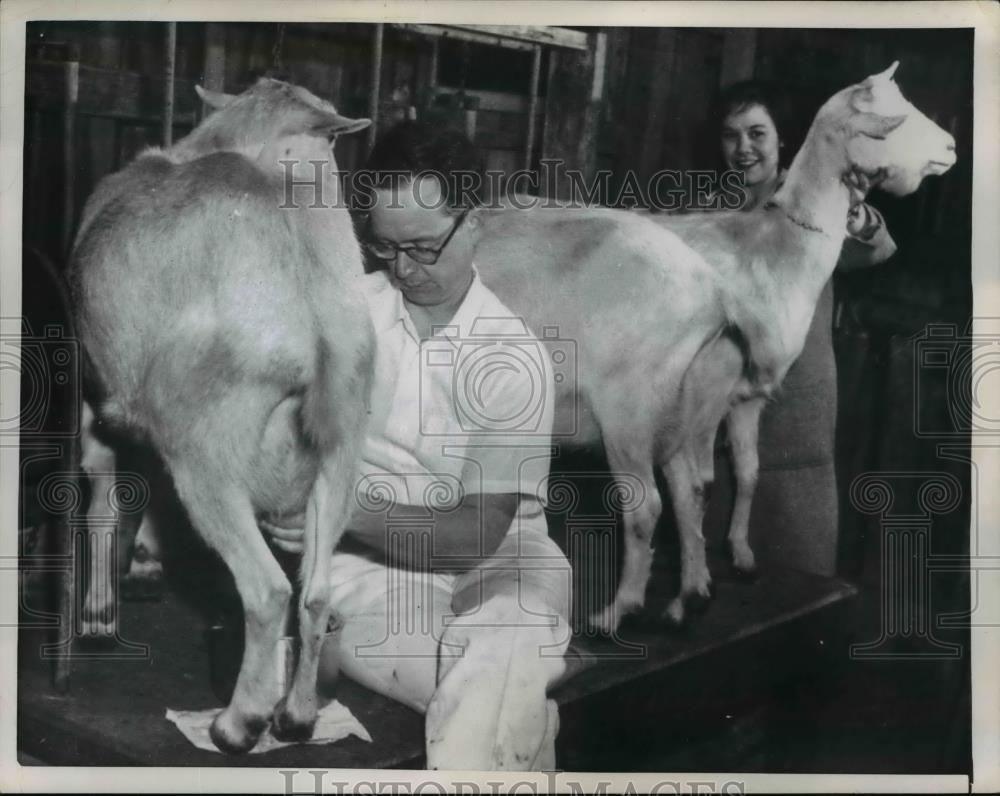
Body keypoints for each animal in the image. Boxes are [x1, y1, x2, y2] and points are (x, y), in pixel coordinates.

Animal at [70, 76, 374, 752]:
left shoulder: (95, 384)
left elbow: (100, 487)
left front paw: (99, 614)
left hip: (206, 451)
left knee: (265, 590)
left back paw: (238, 726)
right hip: (341, 452)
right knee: (314, 592)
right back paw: (297, 717)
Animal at [472, 62, 956, 632]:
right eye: (892, 117)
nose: (951, 146)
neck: (770, 246)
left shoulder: (744, 397)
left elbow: (744, 474)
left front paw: (734, 559)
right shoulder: (712, 395)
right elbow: (704, 483)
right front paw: (696, 579)